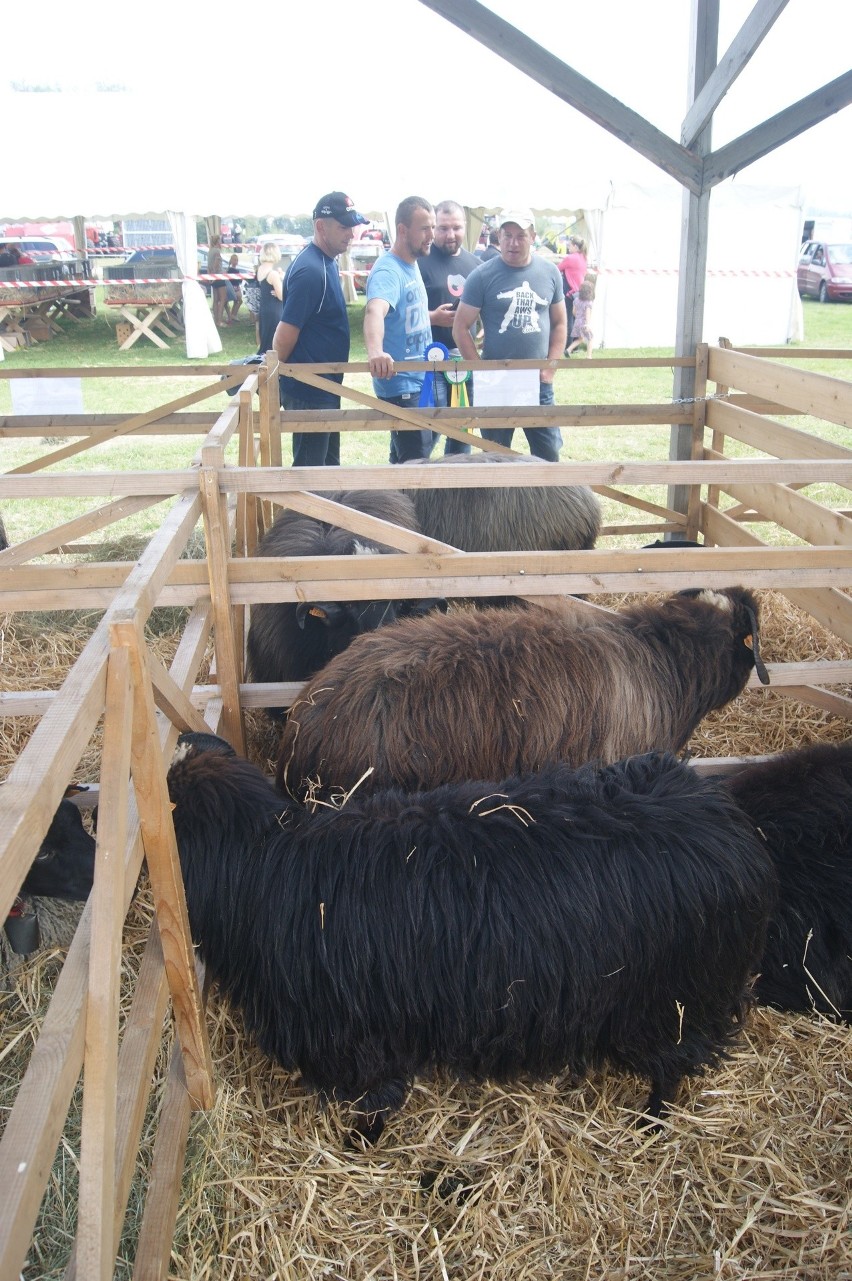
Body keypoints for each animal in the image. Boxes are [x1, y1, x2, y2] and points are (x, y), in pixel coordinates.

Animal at [167, 737, 778, 1147]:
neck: (263, 866)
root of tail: (730, 823)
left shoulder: (358, 1039)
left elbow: (376, 1100)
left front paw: (361, 1142)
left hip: (670, 1003)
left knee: (672, 1065)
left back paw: (650, 1119)